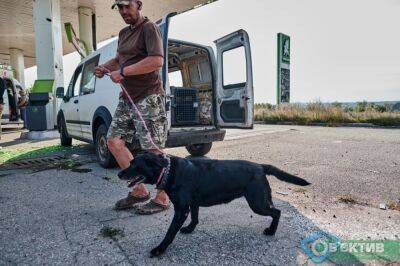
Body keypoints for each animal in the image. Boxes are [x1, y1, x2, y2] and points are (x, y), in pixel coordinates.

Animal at [117, 153, 310, 256]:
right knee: (276, 211)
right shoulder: (192, 204)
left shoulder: (181, 210)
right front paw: (189, 229)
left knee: (277, 212)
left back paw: (271, 231)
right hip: (260, 201)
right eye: (130, 162)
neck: (168, 170)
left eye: (134, 164)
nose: (119, 173)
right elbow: (195, 219)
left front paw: (160, 249)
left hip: (257, 203)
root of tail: (260, 166)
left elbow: (170, 232)